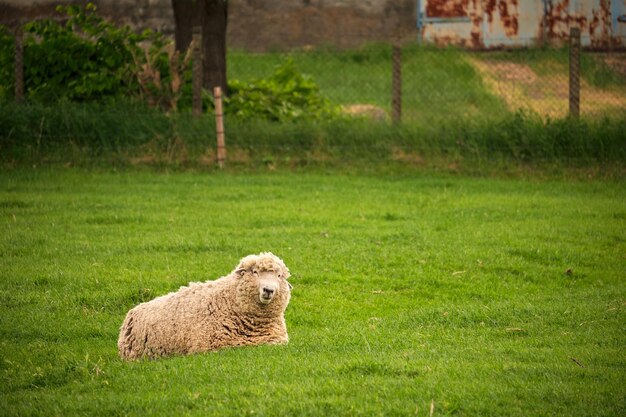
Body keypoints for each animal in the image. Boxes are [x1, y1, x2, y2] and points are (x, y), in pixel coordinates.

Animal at [116, 252, 290, 360]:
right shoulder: (210, 347)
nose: (268, 290)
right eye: (255, 272)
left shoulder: (276, 341)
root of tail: (133, 310)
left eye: (279, 276)